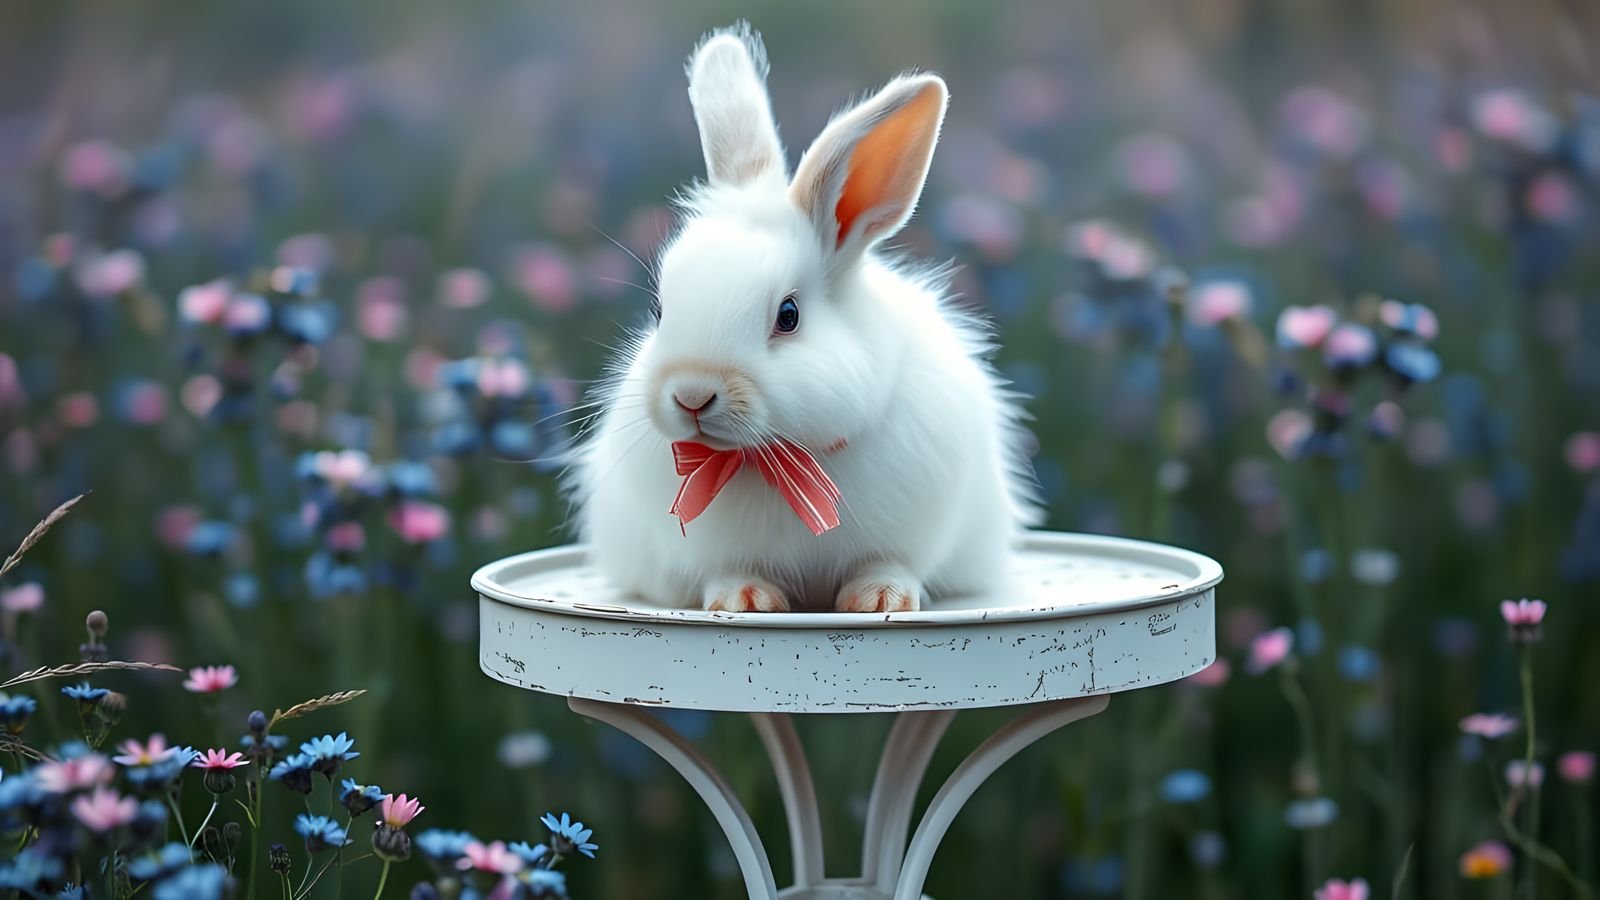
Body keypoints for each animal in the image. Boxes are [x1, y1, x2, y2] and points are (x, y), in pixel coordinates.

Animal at [566, 22, 1039, 613]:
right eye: (658, 309)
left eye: (788, 315)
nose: (691, 394)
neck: (780, 455)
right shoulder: (707, 551)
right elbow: (725, 570)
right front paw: (744, 599)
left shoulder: (916, 531)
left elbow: (893, 562)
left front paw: (881, 598)